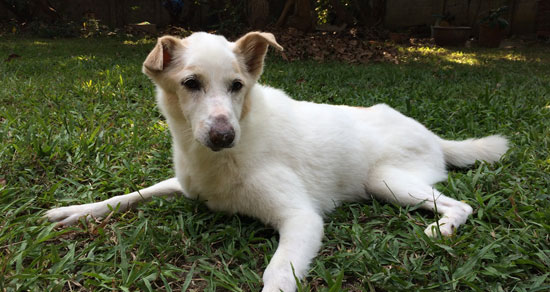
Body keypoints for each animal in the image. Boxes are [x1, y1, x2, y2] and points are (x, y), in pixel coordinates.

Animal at [47, 30, 508, 290]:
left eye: (237, 85)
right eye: (191, 83)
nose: (223, 135)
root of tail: (434, 136)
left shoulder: (302, 219)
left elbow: (277, 275)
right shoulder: (184, 185)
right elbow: (129, 195)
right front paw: (77, 211)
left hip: (385, 180)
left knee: (461, 205)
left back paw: (442, 228)